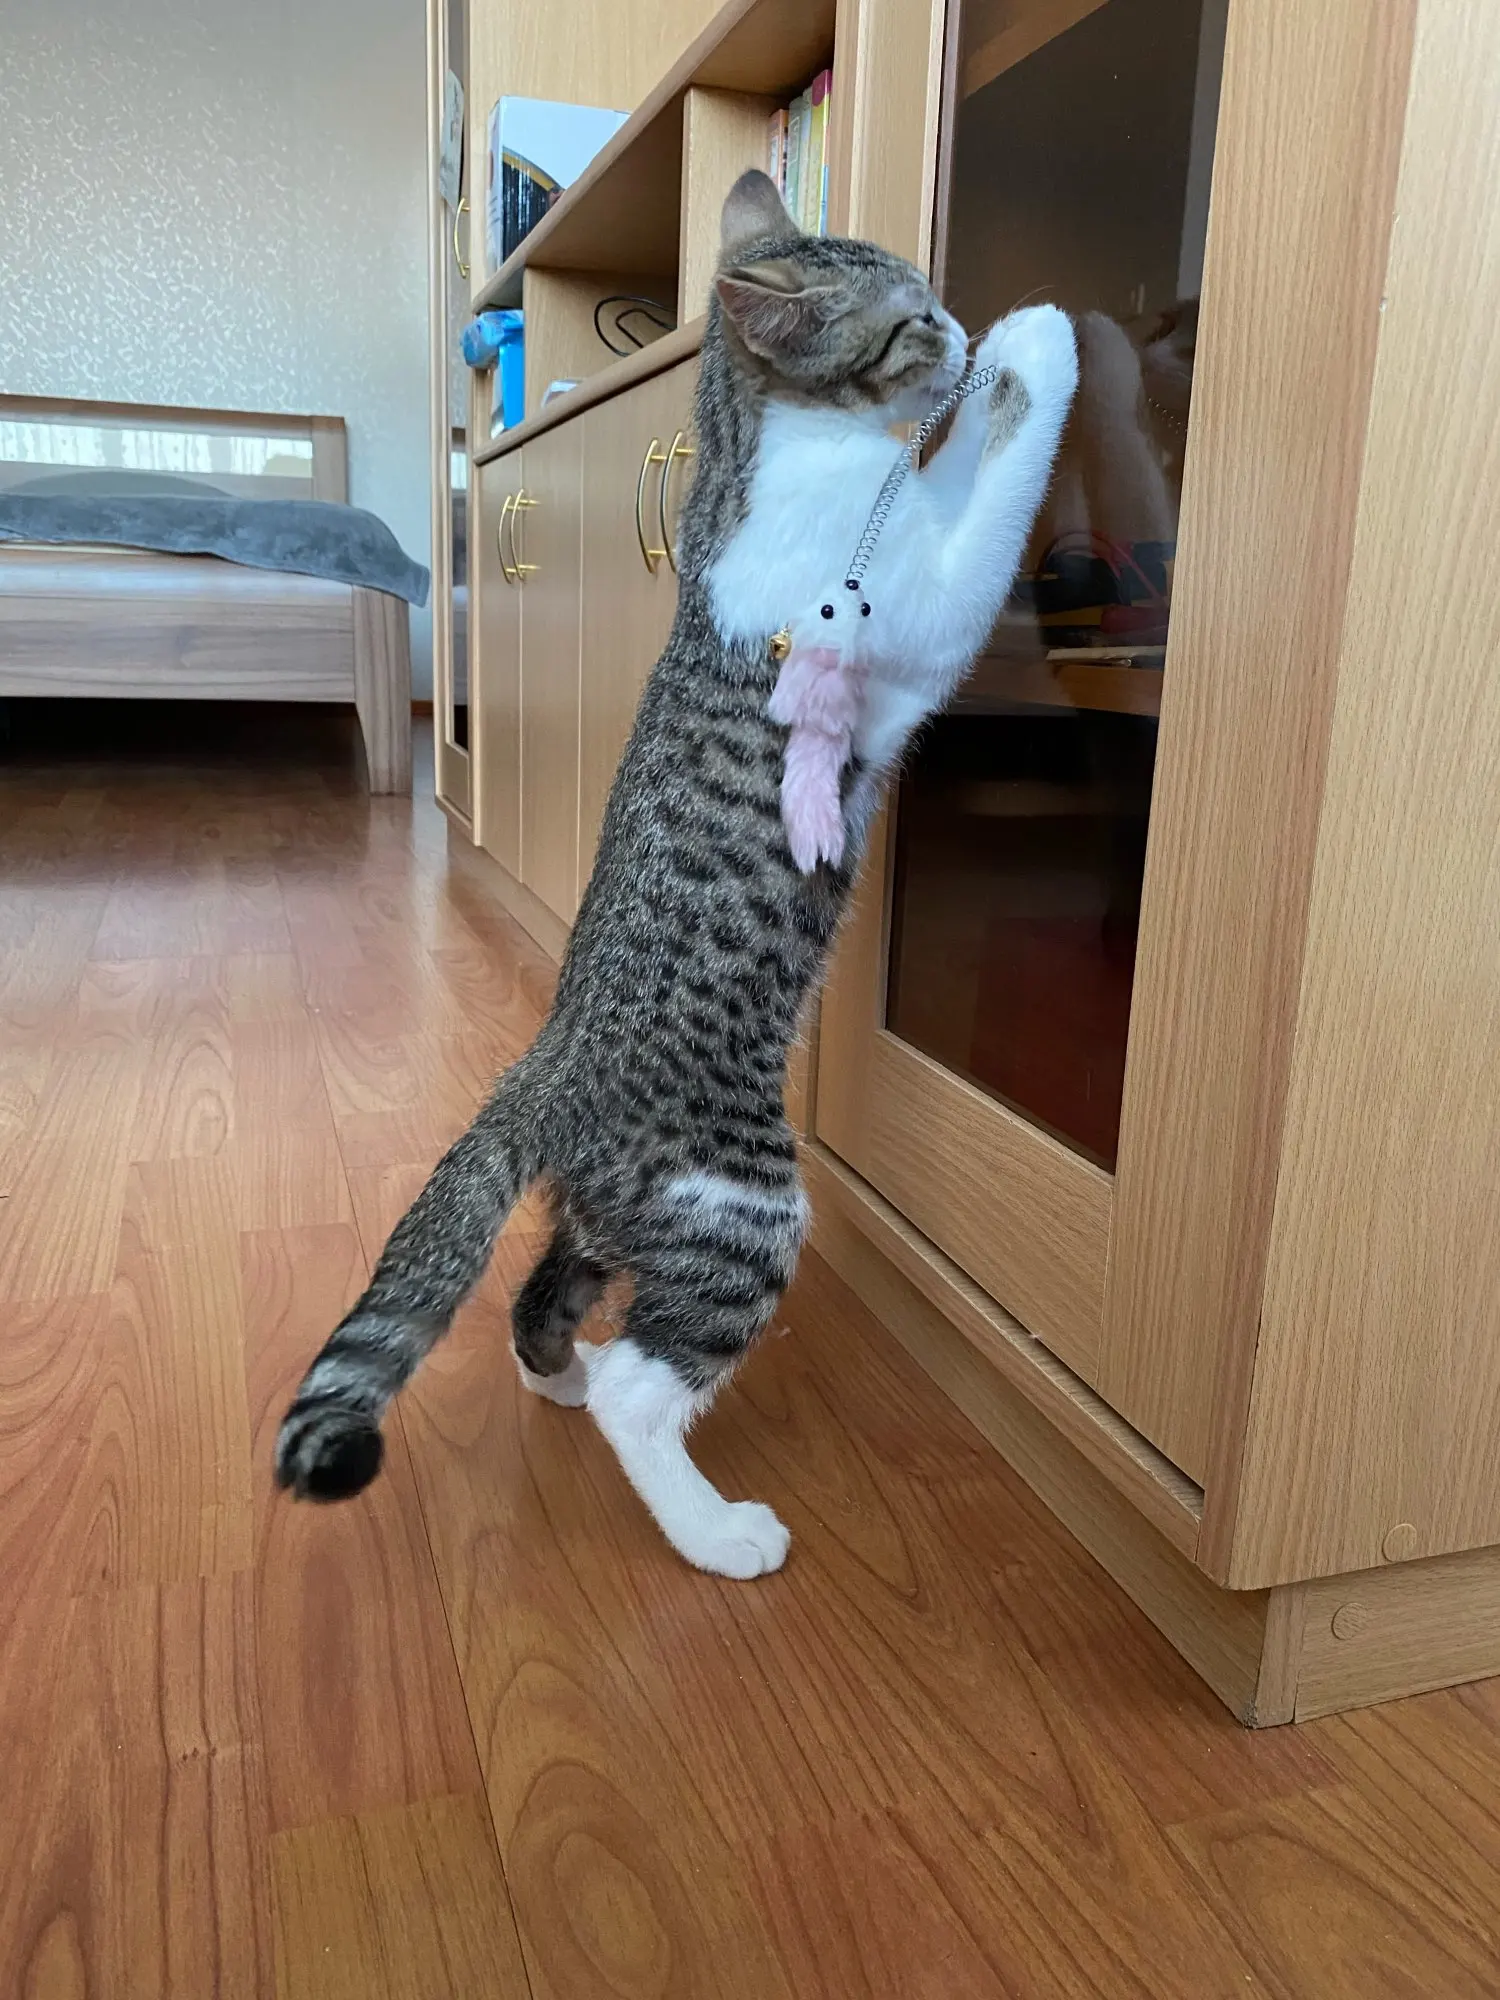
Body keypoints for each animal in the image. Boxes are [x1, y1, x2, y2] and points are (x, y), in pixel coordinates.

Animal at [275, 170, 1078, 1579]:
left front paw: (996, 379)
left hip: (629, 1220)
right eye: (912, 319)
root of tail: (545, 1074)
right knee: (648, 1388)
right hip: (738, 1203)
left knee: (549, 1291)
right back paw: (714, 1527)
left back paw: (558, 1376)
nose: (961, 332)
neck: (749, 455)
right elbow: (982, 516)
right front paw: (1038, 351)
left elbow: (952, 478)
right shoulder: (908, 605)